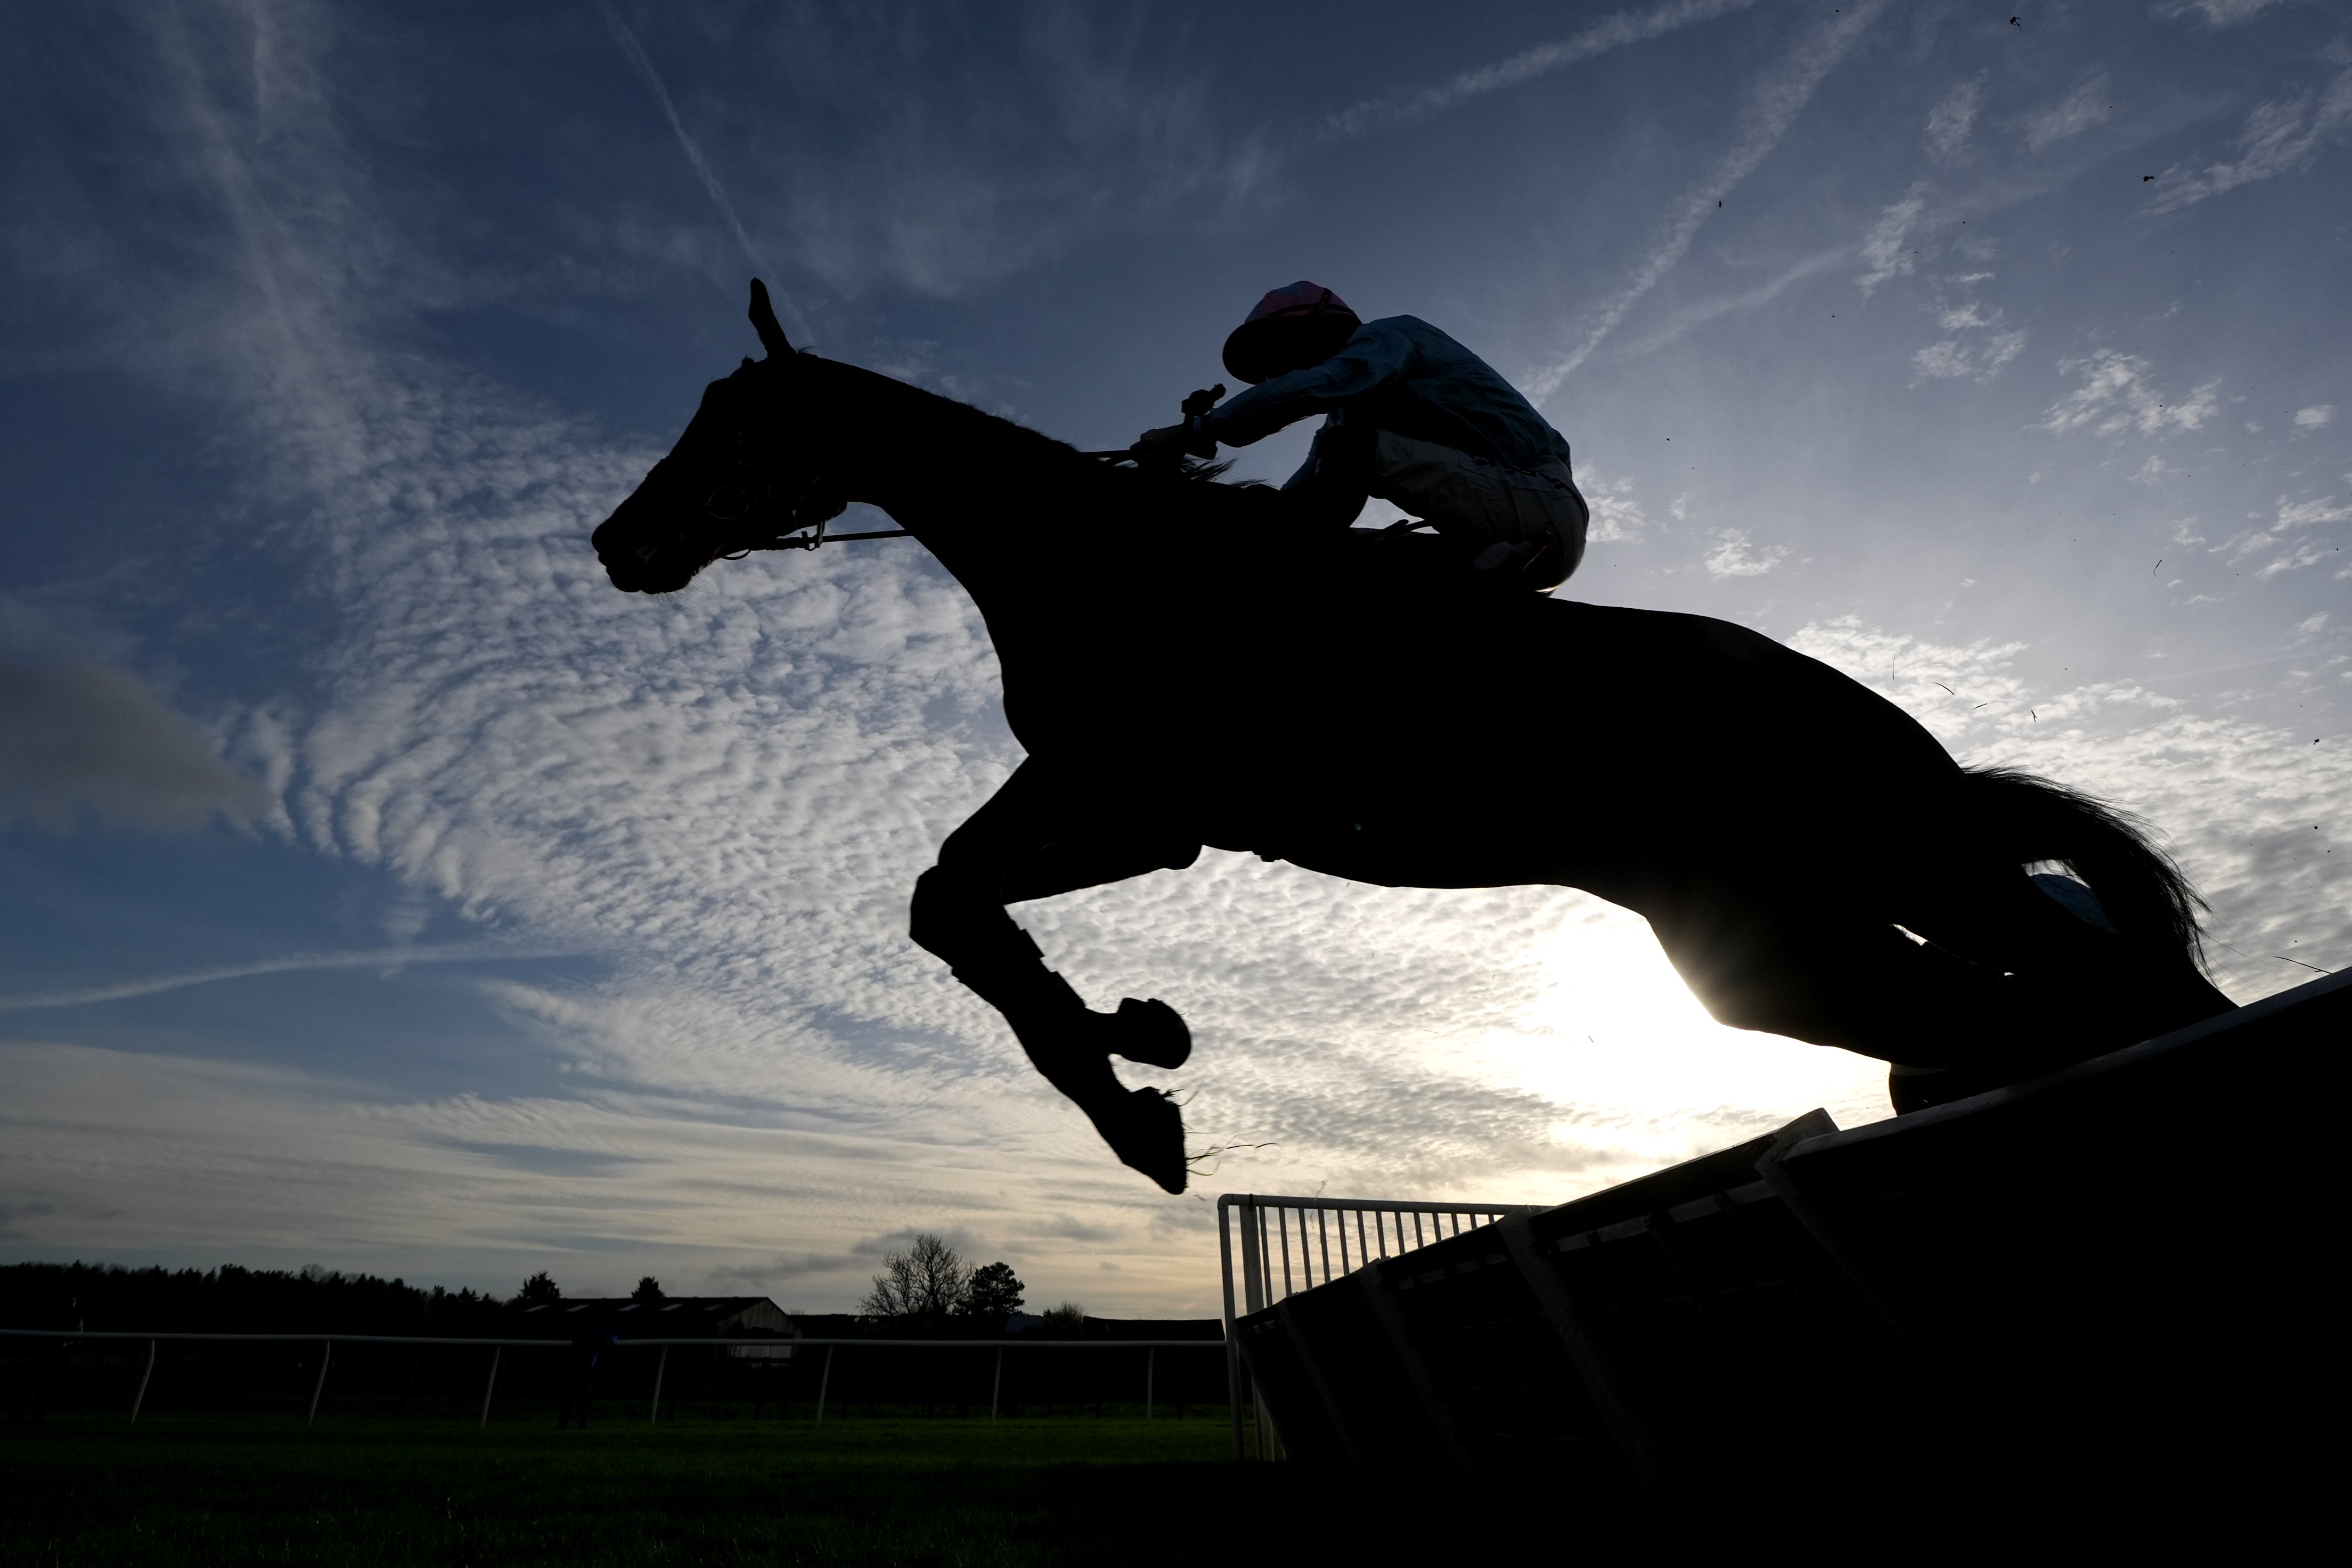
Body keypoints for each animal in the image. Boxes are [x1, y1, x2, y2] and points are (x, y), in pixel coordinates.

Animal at [592, 285, 2239, 1189]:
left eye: (727, 421)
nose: (617, 541)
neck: (1109, 562)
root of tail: (1897, 732)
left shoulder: (1134, 796)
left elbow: (955, 903)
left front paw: (1132, 1090)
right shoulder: (1140, 811)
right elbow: (953, 901)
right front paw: (1137, 1049)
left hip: (1882, 885)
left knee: (2091, 990)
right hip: (1779, 938)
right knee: (2032, 1006)